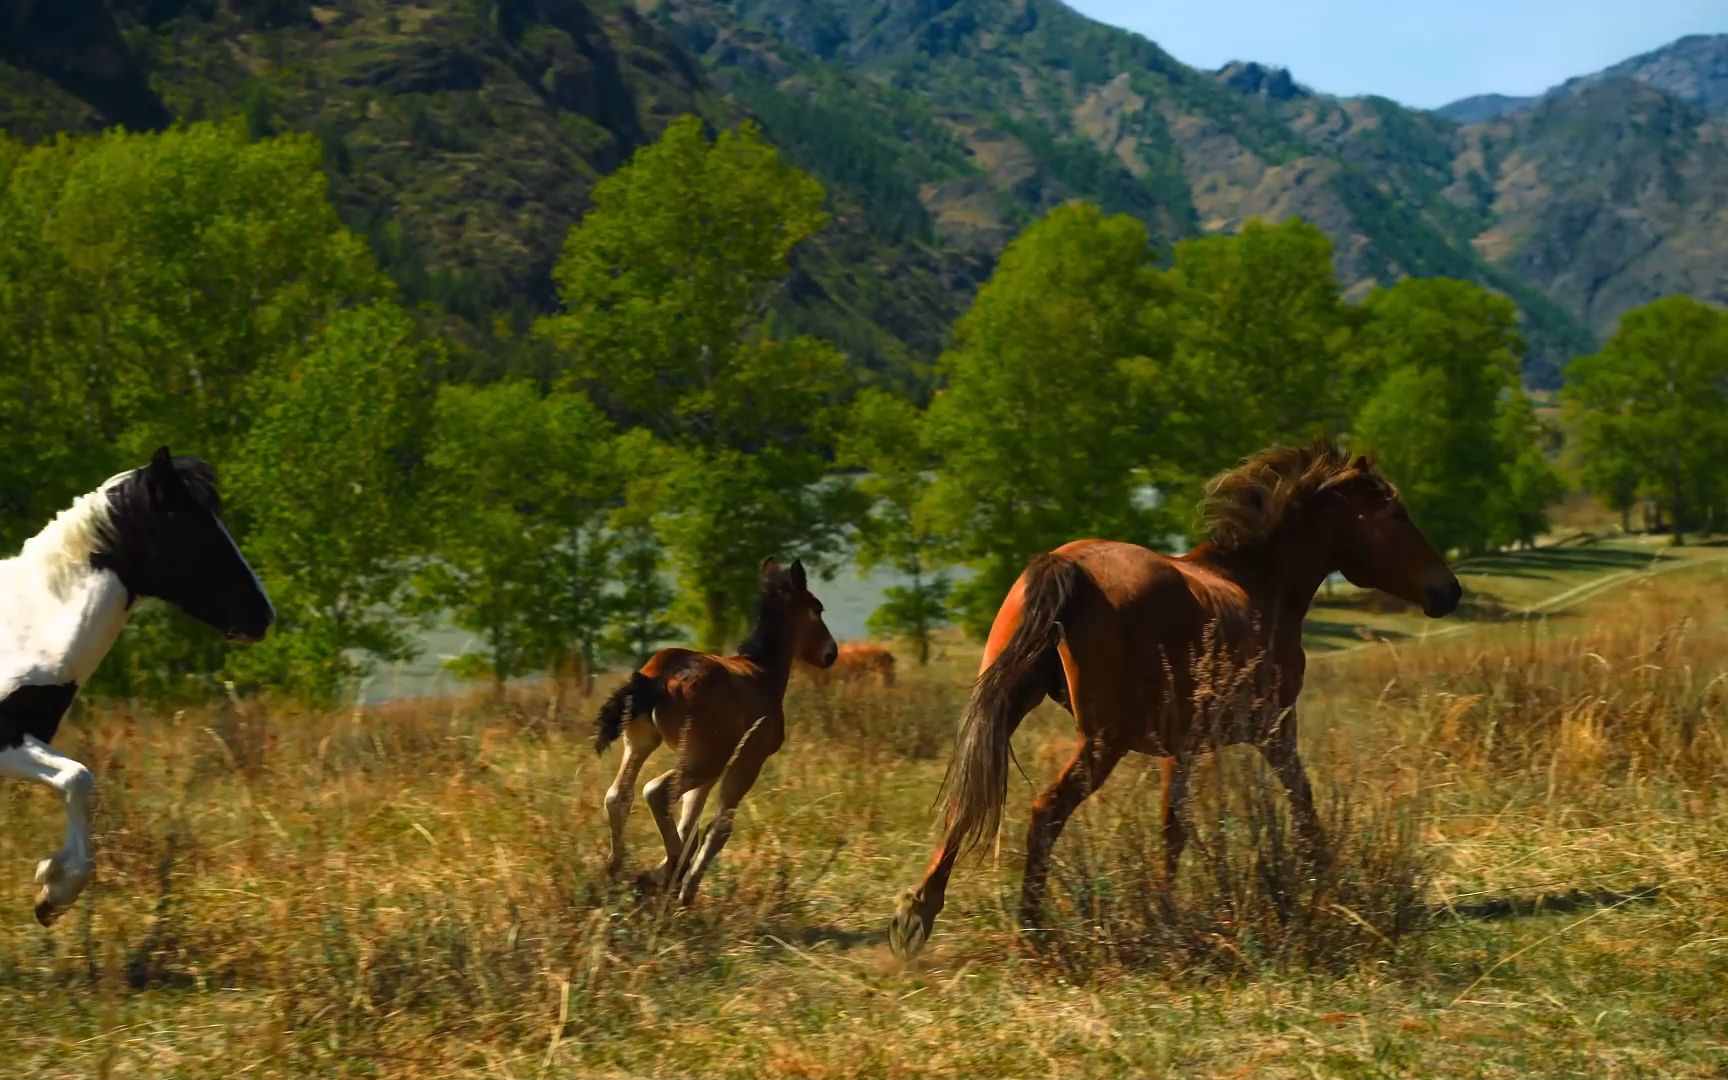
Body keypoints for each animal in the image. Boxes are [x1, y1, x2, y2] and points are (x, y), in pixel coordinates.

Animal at [0, 445, 271, 926]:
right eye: (199, 532)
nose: (262, 616)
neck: (23, 629)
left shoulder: (25, 736)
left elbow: (76, 778)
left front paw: (52, 887)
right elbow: (77, 777)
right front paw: (55, 887)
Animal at [594, 556, 836, 898]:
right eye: (817, 608)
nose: (831, 652)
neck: (763, 672)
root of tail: (657, 678)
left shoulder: (713, 769)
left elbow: (690, 820)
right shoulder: (747, 761)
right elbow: (719, 826)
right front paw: (683, 887)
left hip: (643, 743)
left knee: (618, 796)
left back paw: (617, 870)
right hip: (706, 760)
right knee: (656, 791)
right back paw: (668, 869)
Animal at [891, 433, 1458, 953]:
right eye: (1397, 515)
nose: (1448, 591)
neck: (1258, 583)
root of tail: (1064, 565)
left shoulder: (1181, 746)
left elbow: (1173, 827)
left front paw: (1165, 910)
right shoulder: (1275, 730)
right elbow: (1302, 803)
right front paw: (1328, 883)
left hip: (1008, 708)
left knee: (965, 801)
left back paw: (918, 911)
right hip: (1102, 742)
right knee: (1045, 811)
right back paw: (1032, 931)